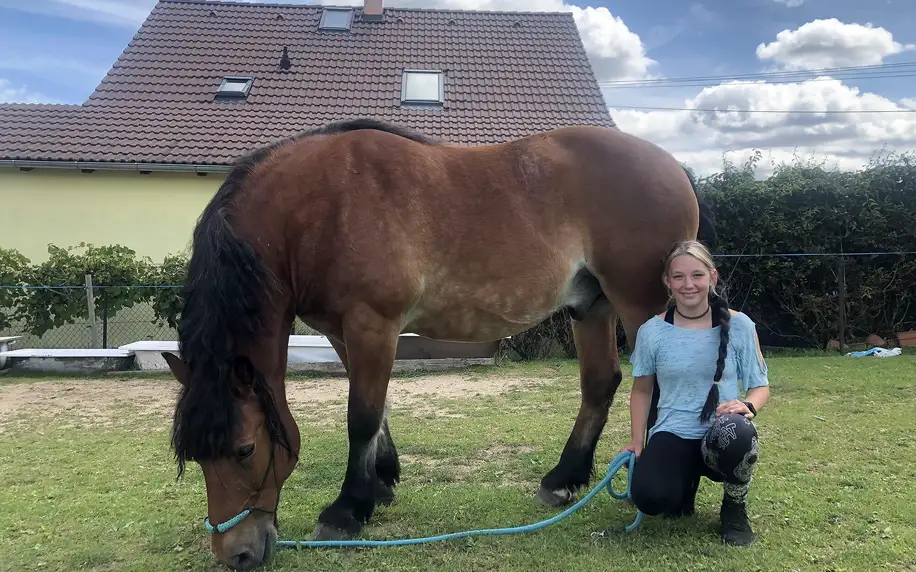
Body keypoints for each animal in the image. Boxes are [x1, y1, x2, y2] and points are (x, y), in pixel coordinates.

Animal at [161, 118, 712, 568]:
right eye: (195, 457)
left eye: (244, 449)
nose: (237, 553)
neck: (318, 205)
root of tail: (673, 167)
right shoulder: (343, 332)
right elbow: (377, 410)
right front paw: (381, 483)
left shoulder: (372, 324)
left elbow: (361, 416)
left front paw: (346, 510)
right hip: (590, 306)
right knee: (601, 383)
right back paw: (562, 480)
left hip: (639, 305)